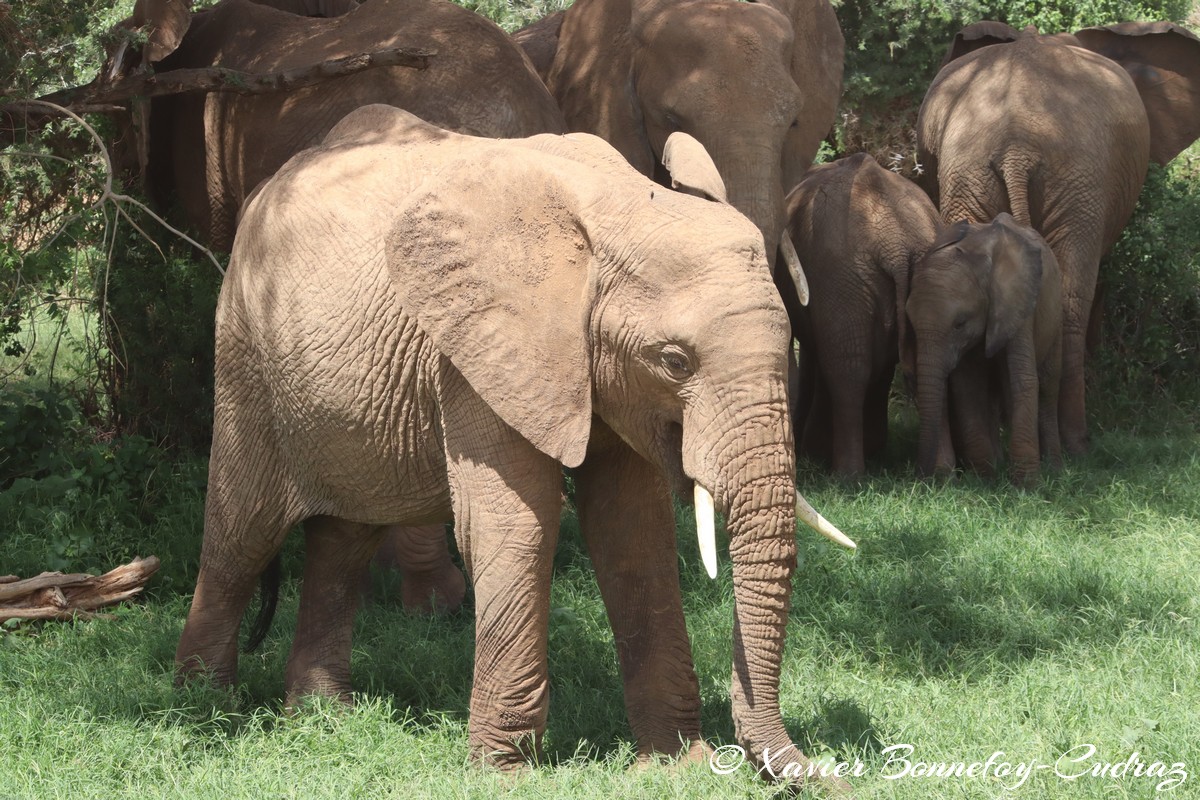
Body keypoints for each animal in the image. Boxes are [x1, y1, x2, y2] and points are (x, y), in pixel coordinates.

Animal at [177, 103, 854, 791]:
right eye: (673, 361)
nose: (833, 776)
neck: (621, 208)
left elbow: (632, 531)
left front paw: (674, 767)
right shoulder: (475, 351)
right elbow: (518, 525)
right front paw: (506, 778)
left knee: (345, 540)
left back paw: (324, 719)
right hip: (245, 352)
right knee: (241, 533)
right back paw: (203, 714)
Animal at [902, 212, 1065, 484]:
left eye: (959, 323)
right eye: (910, 323)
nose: (919, 478)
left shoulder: (1016, 302)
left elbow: (1023, 379)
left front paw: (1027, 485)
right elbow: (968, 385)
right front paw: (985, 478)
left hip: (1055, 316)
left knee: (1049, 383)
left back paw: (1055, 467)